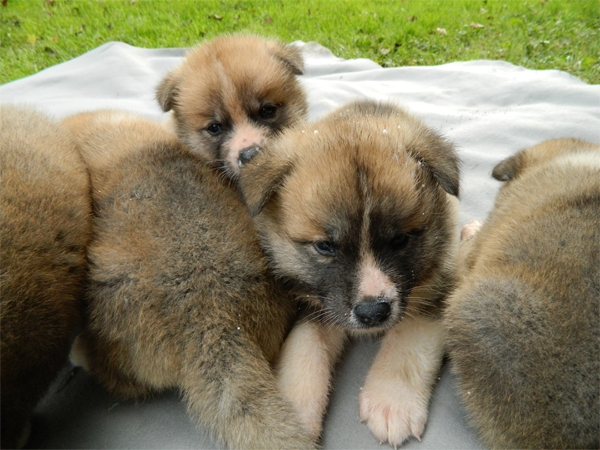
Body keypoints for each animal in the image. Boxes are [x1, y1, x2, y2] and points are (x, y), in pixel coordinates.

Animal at [237, 99, 460, 446]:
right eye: (325, 246)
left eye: (400, 240)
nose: (373, 313)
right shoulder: (315, 304)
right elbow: (304, 349)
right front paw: (289, 418)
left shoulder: (438, 285)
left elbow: (409, 339)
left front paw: (392, 401)